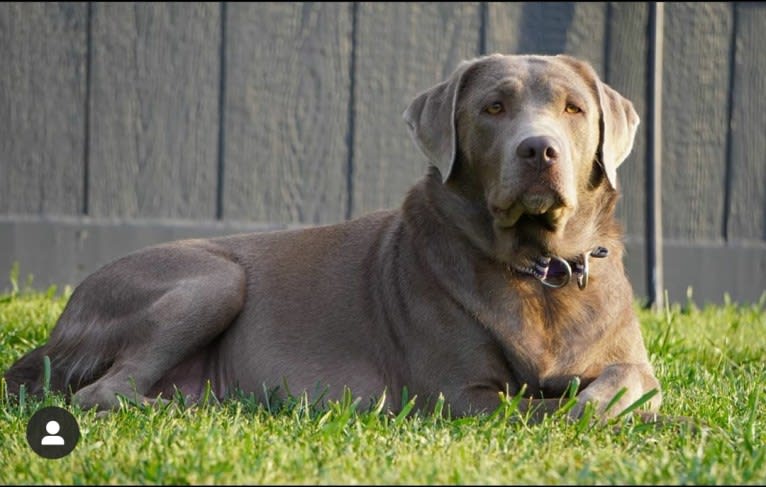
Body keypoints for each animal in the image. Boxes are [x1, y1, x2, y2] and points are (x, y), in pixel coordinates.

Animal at [6, 52, 664, 420]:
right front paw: (587, 410)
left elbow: (632, 380)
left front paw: (607, 403)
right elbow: (538, 409)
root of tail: (61, 323)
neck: (541, 270)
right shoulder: (459, 395)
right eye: (494, 108)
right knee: (101, 393)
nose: (538, 149)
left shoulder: (629, 359)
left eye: (574, 108)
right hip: (213, 278)